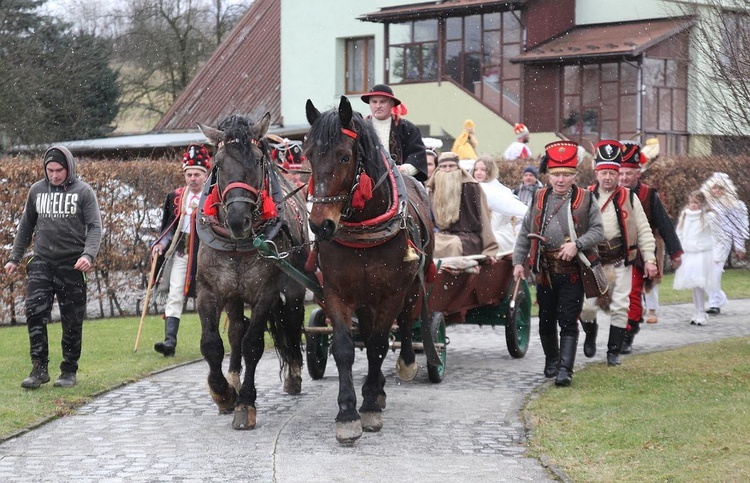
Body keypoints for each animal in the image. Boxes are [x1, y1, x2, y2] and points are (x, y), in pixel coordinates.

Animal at [197, 114, 312, 432]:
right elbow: (212, 343)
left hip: (294, 287)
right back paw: (233, 379)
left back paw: (293, 374)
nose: (238, 220)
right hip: (234, 295)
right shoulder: (209, 290)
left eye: (258, 160)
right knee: (236, 329)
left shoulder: (267, 293)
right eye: (218, 163)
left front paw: (245, 404)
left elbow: (253, 344)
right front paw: (224, 393)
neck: (238, 243)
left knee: (292, 320)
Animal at [304, 97, 434, 446]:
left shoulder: (390, 293)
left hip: (412, 286)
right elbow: (345, 347)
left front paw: (370, 406)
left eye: (344, 156)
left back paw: (405, 365)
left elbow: (377, 345)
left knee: (408, 323)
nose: (320, 225)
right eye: (308, 154)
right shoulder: (338, 292)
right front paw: (348, 412)